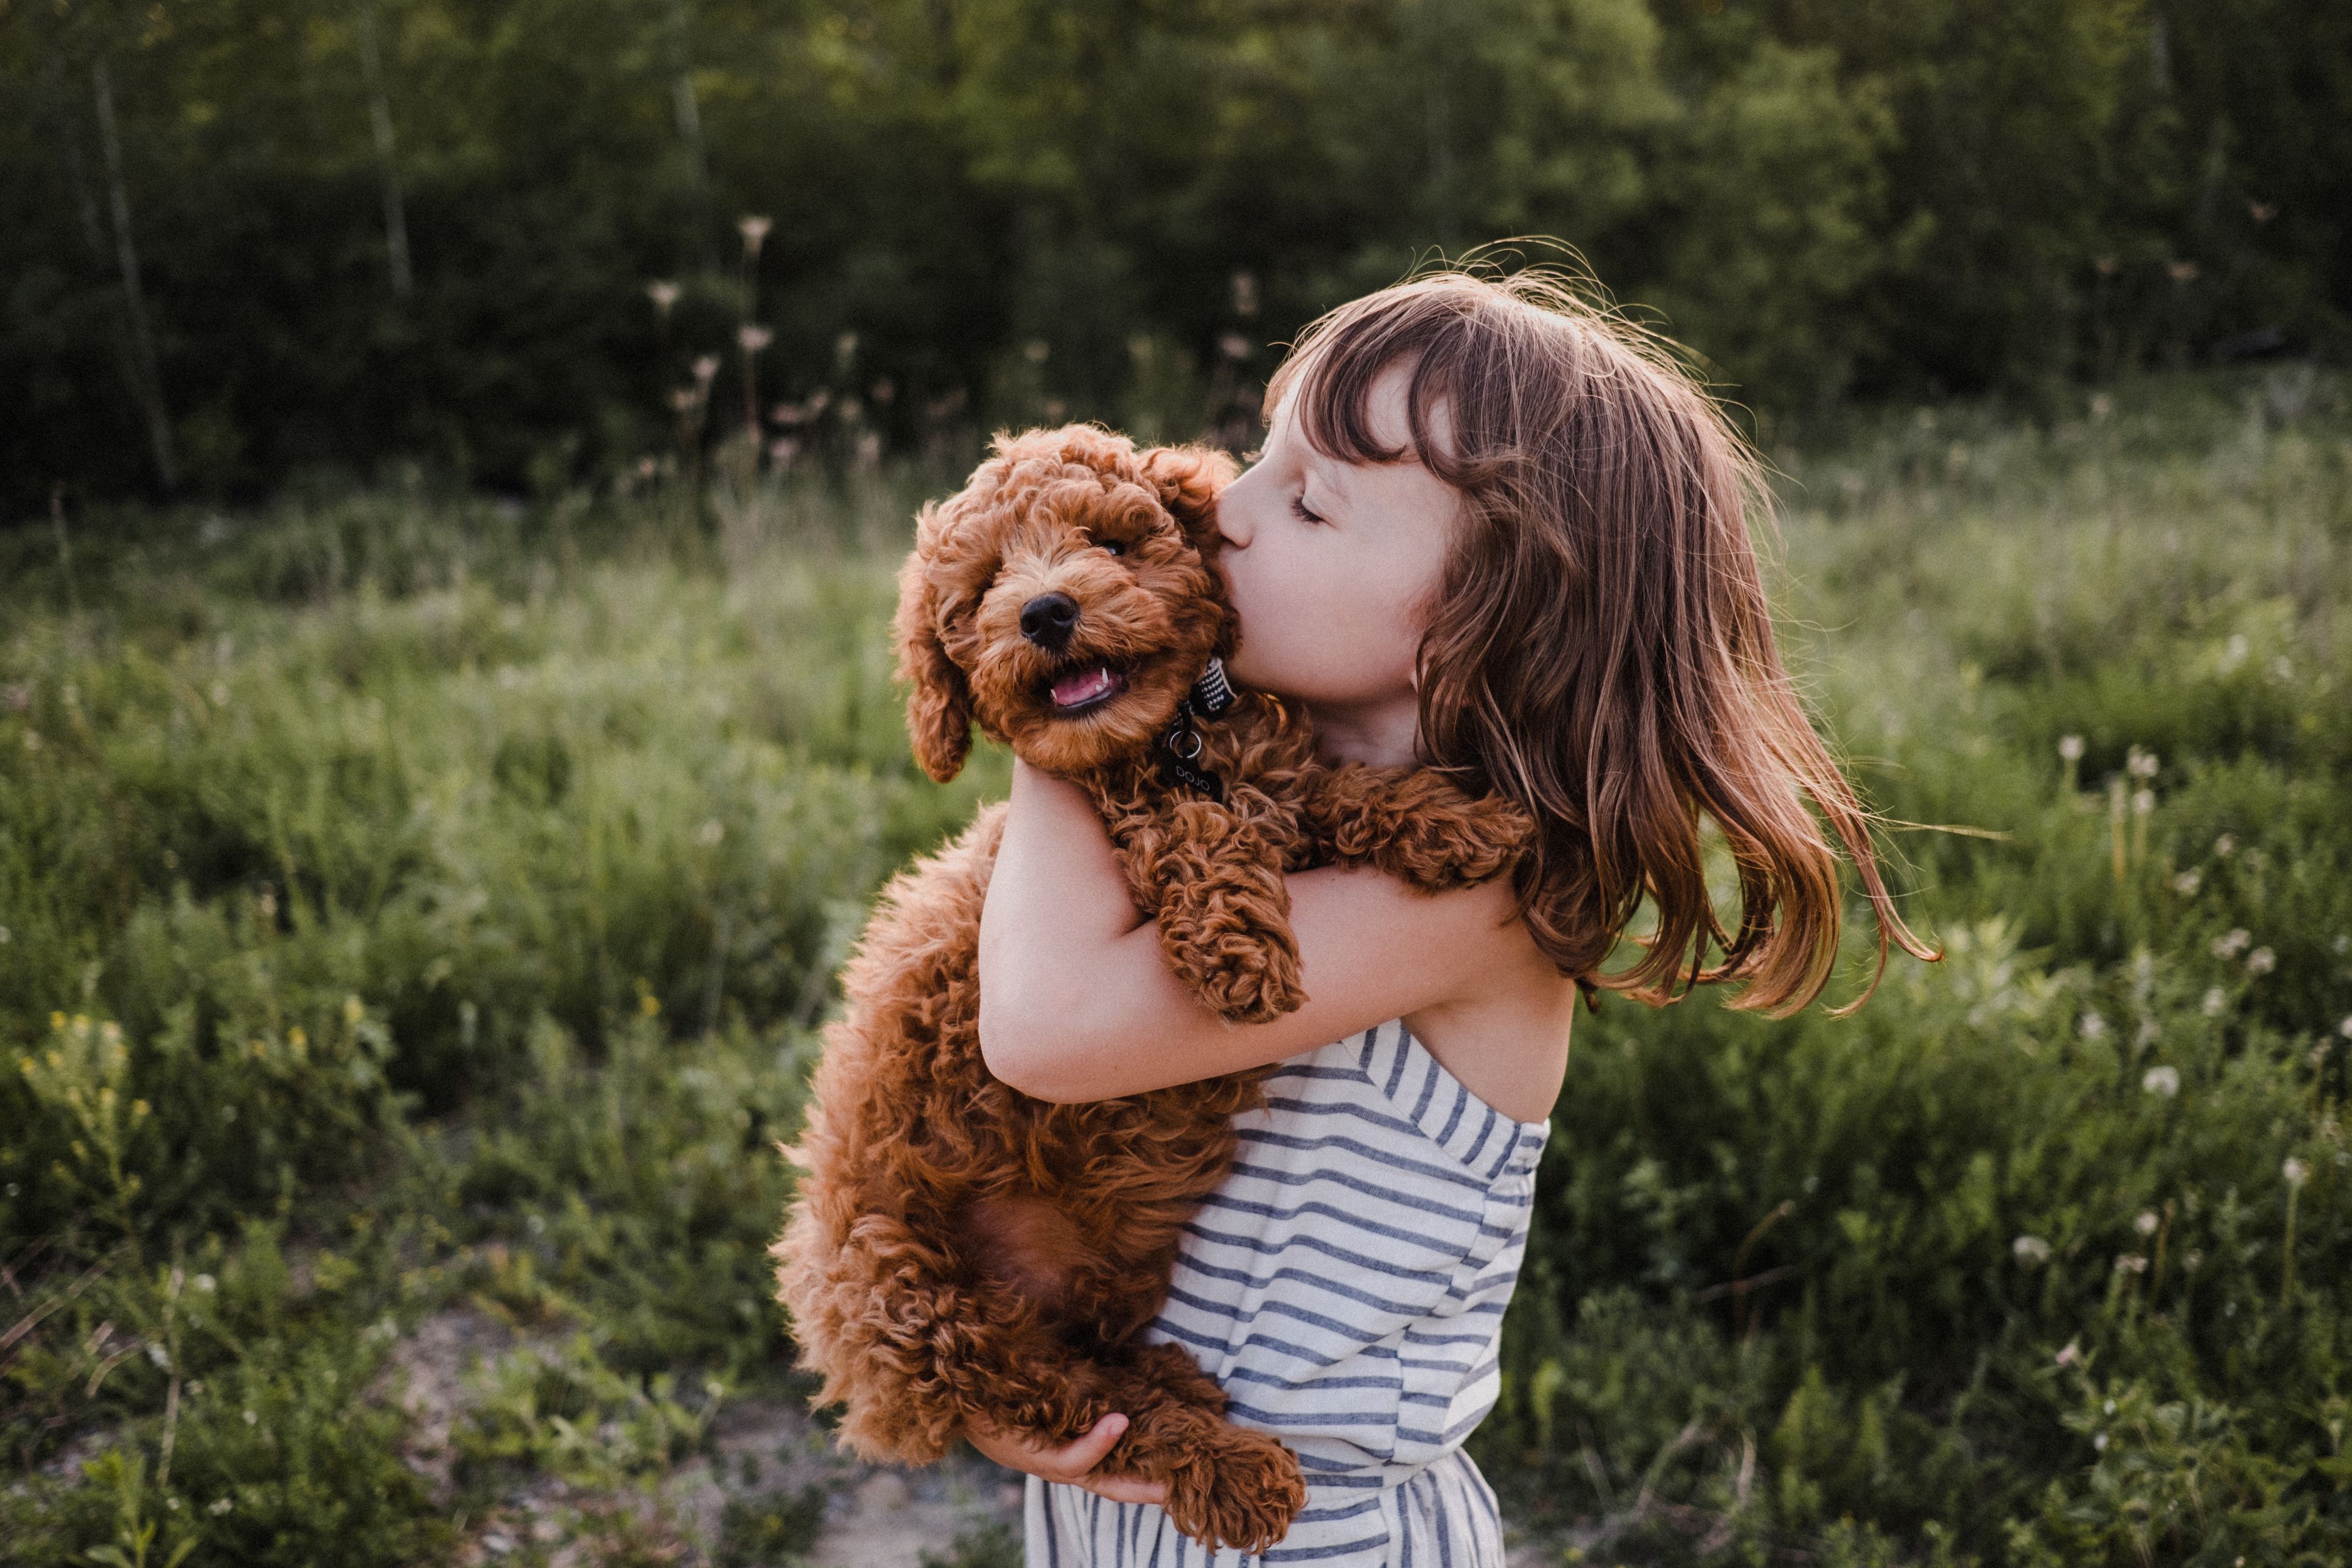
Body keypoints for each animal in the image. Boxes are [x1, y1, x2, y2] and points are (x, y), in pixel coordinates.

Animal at [771, 421, 1524, 1561]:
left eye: (1107, 543)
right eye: (984, 587)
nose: (1045, 611)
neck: (1165, 747)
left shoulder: (1266, 779)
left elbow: (1326, 791)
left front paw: (1451, 821)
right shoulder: (1137, 832)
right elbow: (1193, 833)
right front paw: (1240, 948)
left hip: (1089, 1277)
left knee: (1100, 1368)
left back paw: (1180, 1381)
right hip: (918, 1301)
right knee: (1088, 1409)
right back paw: (1231, 1466)